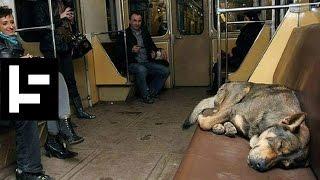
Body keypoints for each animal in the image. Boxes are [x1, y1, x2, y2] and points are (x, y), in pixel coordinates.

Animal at [182, 81, 310, 172]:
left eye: (283, 164)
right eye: (280, 145)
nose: (260, 166)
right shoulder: (233, 109)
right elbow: (206, 123)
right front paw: (201, 118)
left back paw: (227, 126)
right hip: (239, 93)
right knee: (216, 110)